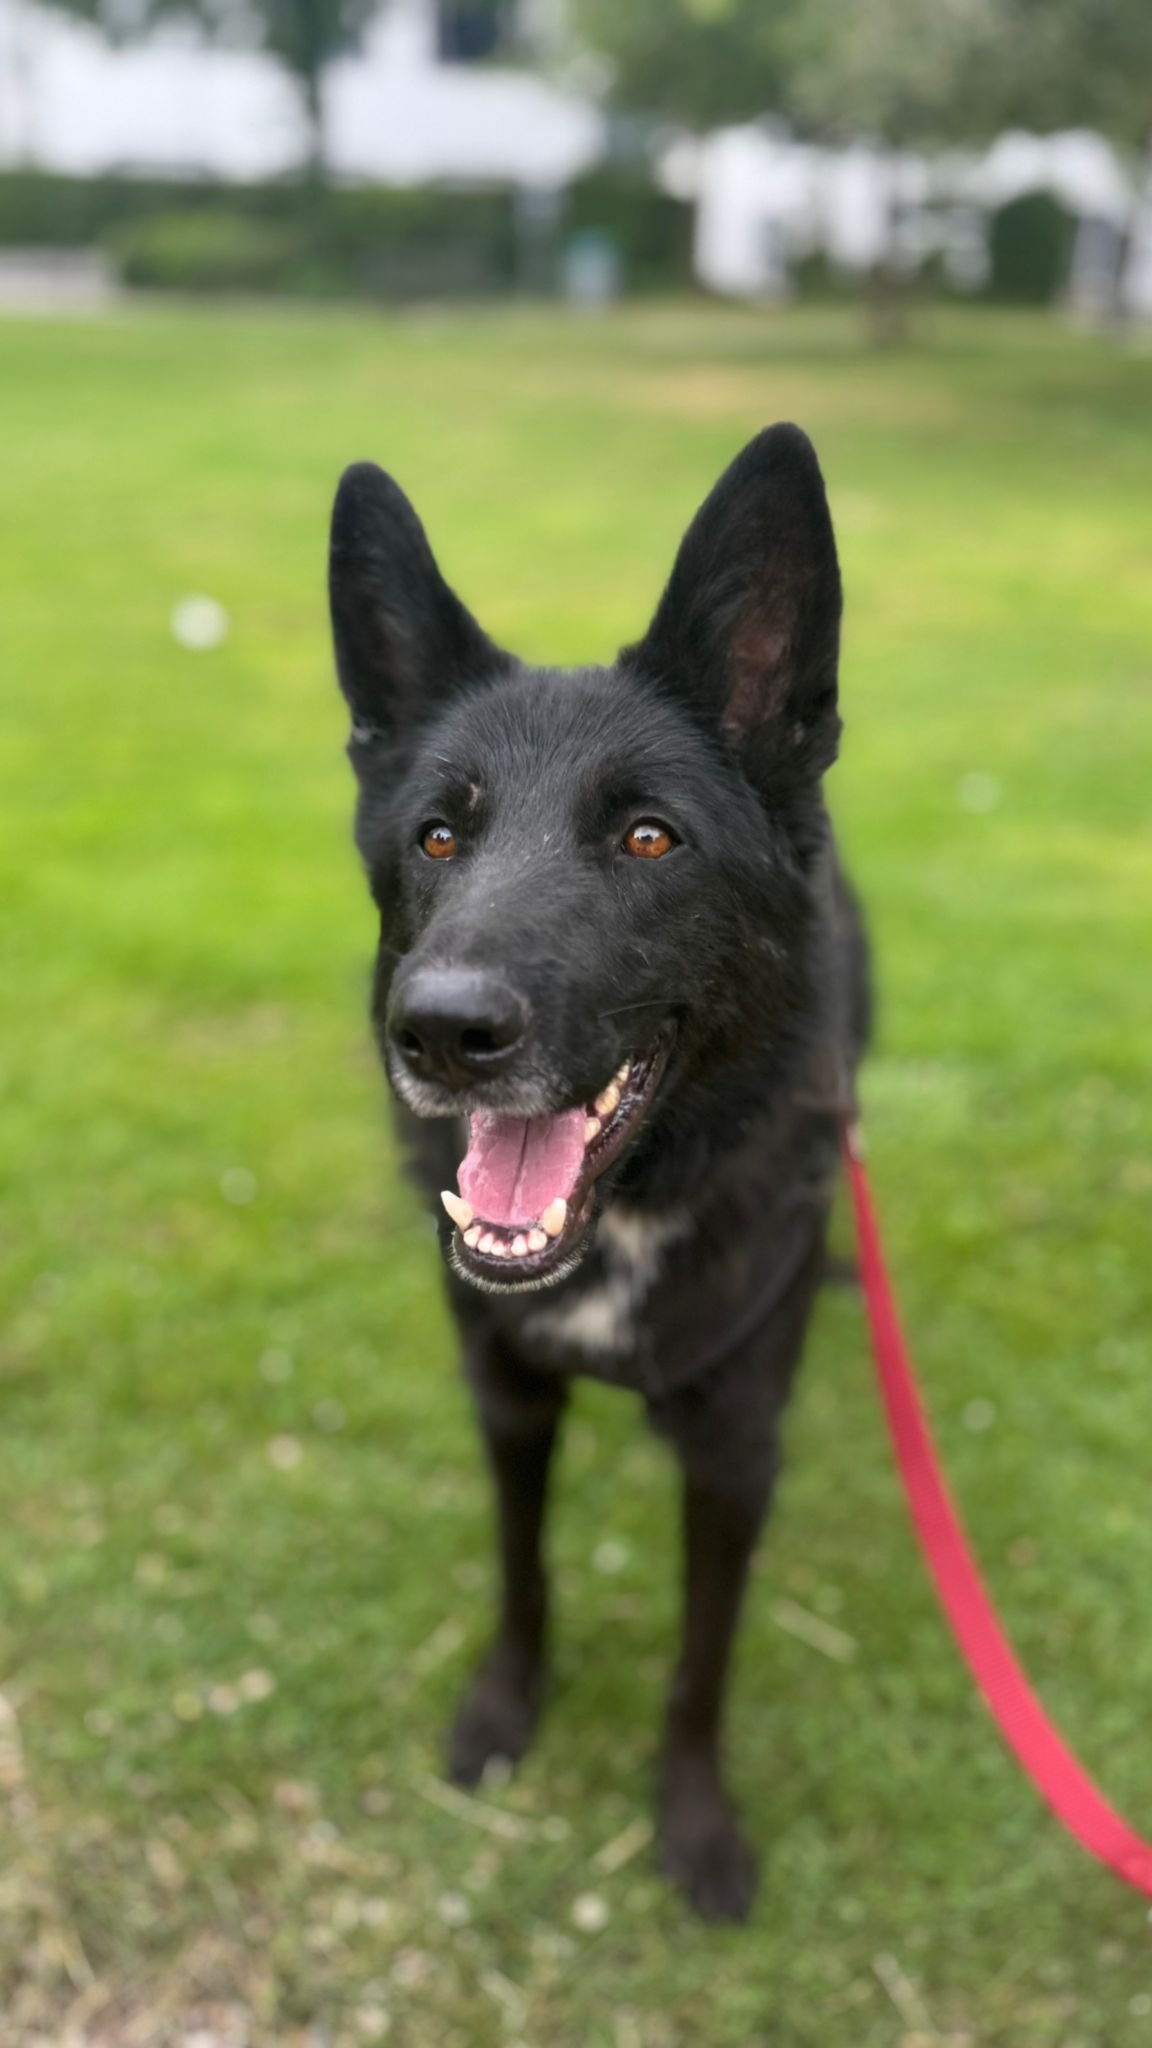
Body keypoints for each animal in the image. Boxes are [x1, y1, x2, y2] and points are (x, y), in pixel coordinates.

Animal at [328, 425, 870, 1921]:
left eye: (648, 838)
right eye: (437, 838)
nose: (441, 1033)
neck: (622, 1221)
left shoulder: (737, 1456)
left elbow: (700, 1664)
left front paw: (694, 1822)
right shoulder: (508, 1398)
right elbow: (524, 1573)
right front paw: (506, 1708)